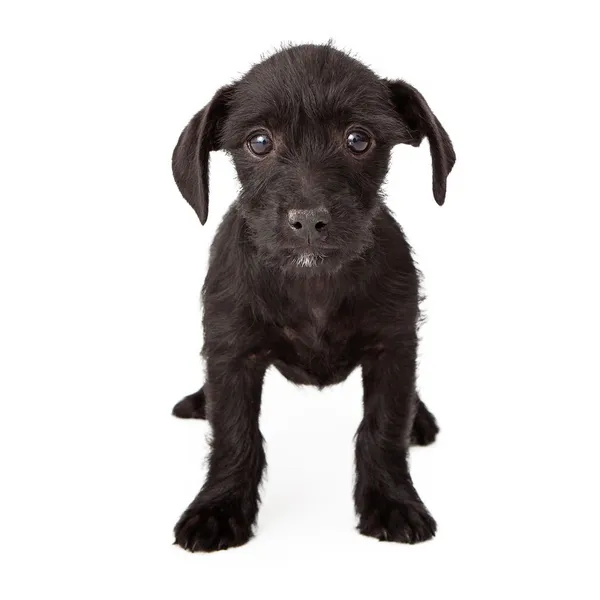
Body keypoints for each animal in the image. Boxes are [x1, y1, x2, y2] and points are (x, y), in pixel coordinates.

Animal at [171, 43, 458, 552]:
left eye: (358, 139)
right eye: (259, 142)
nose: (308, 219)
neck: (313, 284)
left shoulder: (392, 348)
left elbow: (384, 429)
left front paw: (392, 501)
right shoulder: (232, 353)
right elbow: (234, 434)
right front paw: (218, 508)